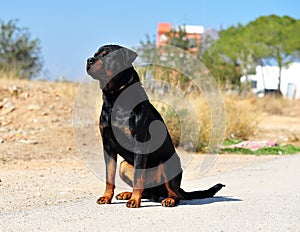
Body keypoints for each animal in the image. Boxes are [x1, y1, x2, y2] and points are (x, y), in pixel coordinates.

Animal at [85, 44, 224, 208]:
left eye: (107, 55)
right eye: (95, 54)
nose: (89, 60)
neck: (115, 98)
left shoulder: (139, 142)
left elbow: (138, 176)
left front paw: (134, 201)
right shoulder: (108, 145)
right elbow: (109, 176)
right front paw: (106, 197)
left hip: (167, 164)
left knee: (174, 193)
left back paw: (168, 199)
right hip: (124, 166)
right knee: (148, 190)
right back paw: (127, 193)